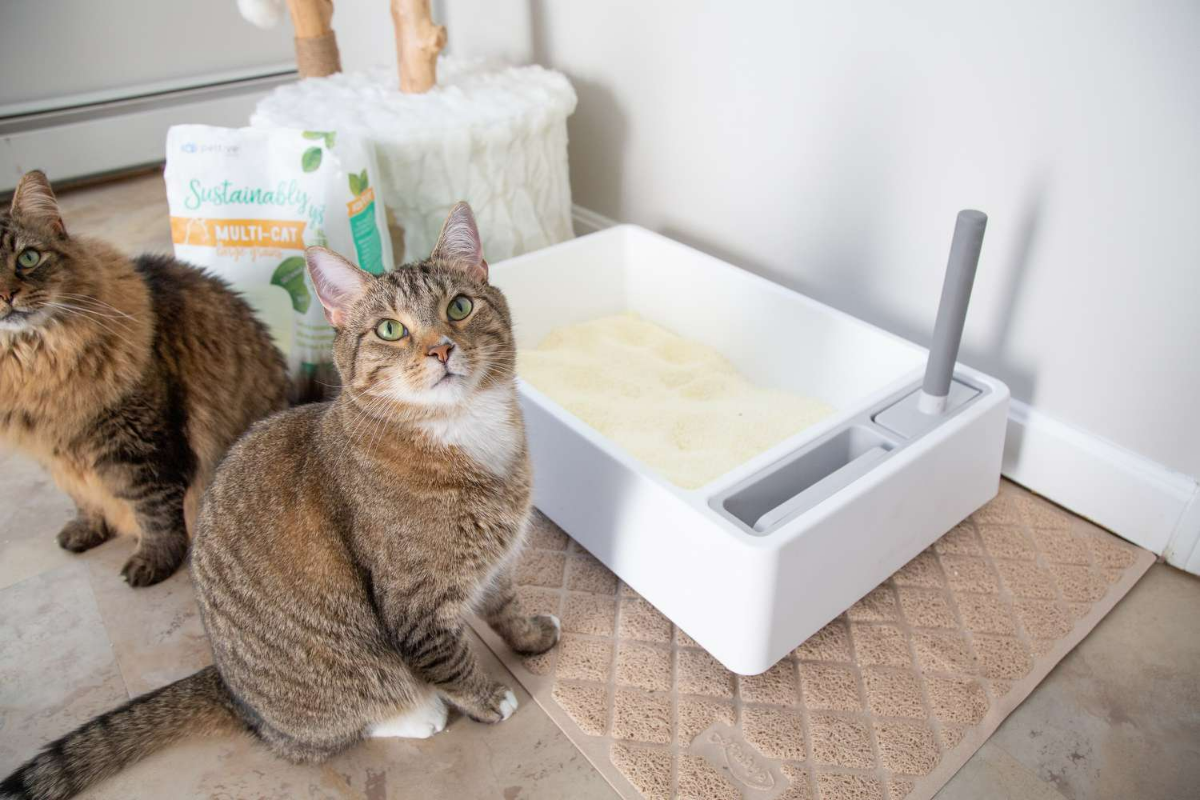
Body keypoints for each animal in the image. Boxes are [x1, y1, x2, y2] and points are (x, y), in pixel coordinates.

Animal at [0, 172, 288, 585]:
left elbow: (155, 513)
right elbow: (83, 498)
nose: (7, 295)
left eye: (28, 258)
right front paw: (87, 529)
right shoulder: (58, 456)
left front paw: (152, 562)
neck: (35, 366)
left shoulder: (142, 447)